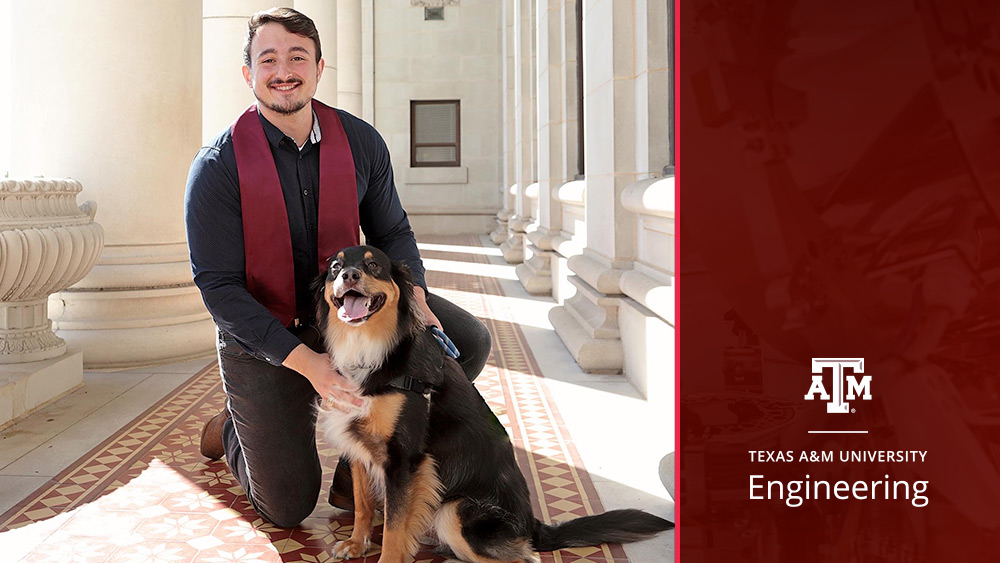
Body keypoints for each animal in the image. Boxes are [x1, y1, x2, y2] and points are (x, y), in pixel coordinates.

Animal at [312, 247, 672, 563]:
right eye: (334, 267)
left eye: (374, 265)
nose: (349, 275)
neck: (371, 349)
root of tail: (532, 525)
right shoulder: (358, 445)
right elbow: (363, 505)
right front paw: (356, 544)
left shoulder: (405, 460)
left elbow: (395, 530)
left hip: (454, 512)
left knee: (523, 559)